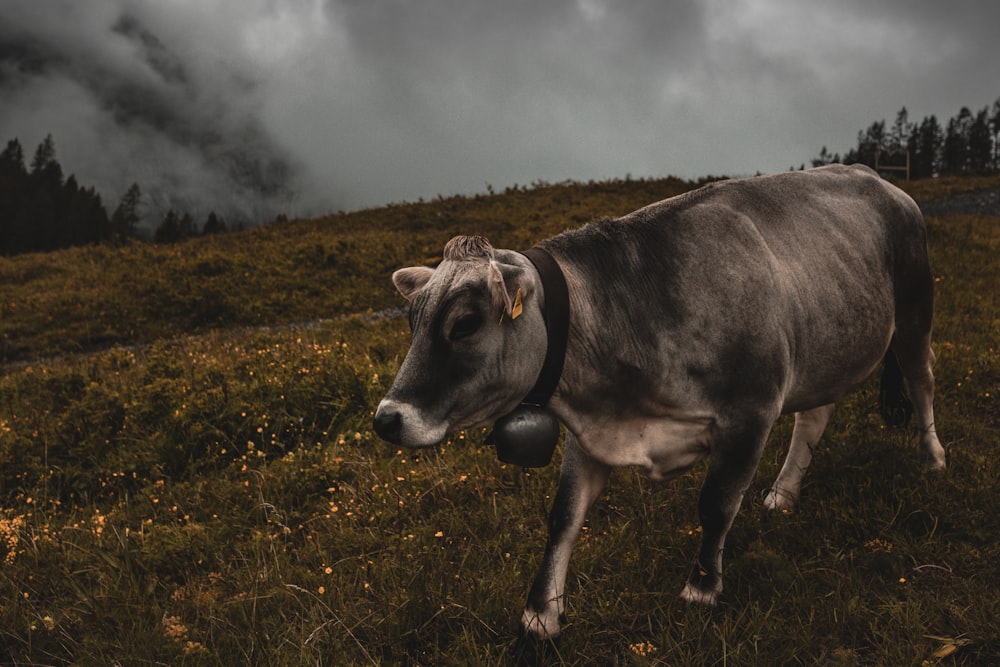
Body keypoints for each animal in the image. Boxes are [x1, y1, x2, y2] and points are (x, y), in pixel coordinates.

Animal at [374, 164, 944, 640]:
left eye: (465, 324)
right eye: (412, 320)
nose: (387, 419)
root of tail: (875, 176)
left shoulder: (750, 411)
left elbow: (716, 504)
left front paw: (701, 590)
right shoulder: (589, 433)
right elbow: (563, 516)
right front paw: (541, 614)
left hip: (915, 310)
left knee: (922, 381)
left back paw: (933, 458)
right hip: (826, 342)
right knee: (815, 415)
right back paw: (784, 492)